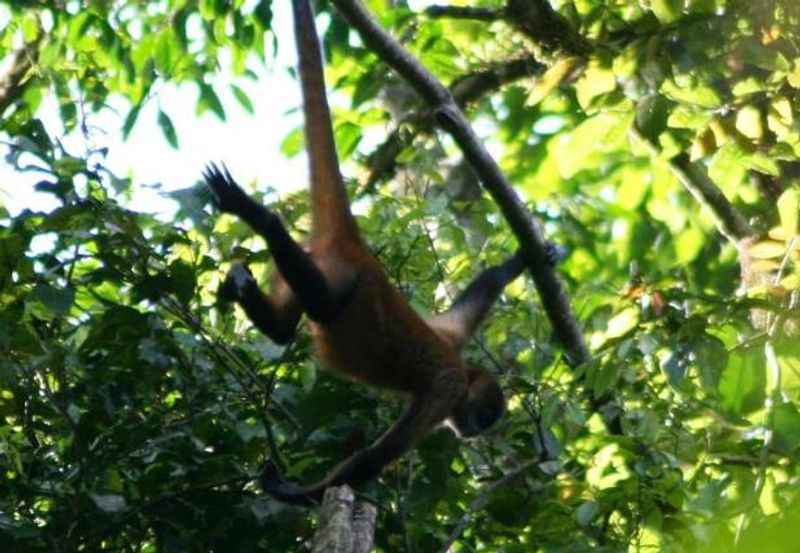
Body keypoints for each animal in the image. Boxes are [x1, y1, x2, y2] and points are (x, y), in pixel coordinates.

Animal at [203, 0, 560, 504]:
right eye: (485, 416)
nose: (473, 431)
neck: (458, 362)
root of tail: (356, 248)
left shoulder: (451, 334)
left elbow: (483, 288)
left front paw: (526, 258)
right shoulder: (446, 389)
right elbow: (374, 458)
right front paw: (291, 492)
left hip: (316, 267)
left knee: (285, 329)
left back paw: (249, 289)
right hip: (338, 274)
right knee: (323, 301)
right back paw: (261, 217)